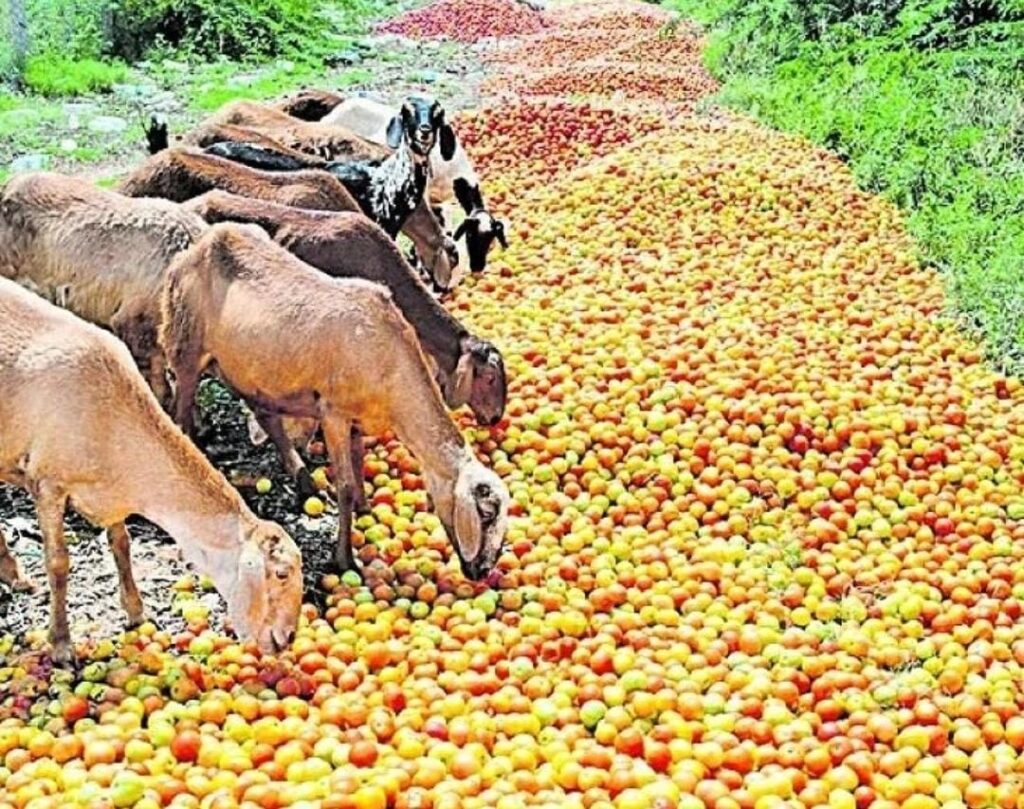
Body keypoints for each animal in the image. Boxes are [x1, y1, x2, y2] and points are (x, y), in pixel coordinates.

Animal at [0, 278, 303, 663]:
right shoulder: (47, 482)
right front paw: (62, 644)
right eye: (281, 573)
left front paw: (136, 612)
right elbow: (58, 563)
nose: (286, 638)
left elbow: (121, 544)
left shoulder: (111, 492)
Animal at [161, 222, 509, 577]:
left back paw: (304, 481)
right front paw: (344, 558)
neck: (394, 370)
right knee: (180, 415)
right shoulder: (333, 414)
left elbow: (358, 462)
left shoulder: (357, 418)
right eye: (486, 513)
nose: (483, 571)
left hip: (251, 371)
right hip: (185, 348)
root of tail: (195, 248)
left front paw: (365, 509)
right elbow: (344, 485)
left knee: (266, 416)